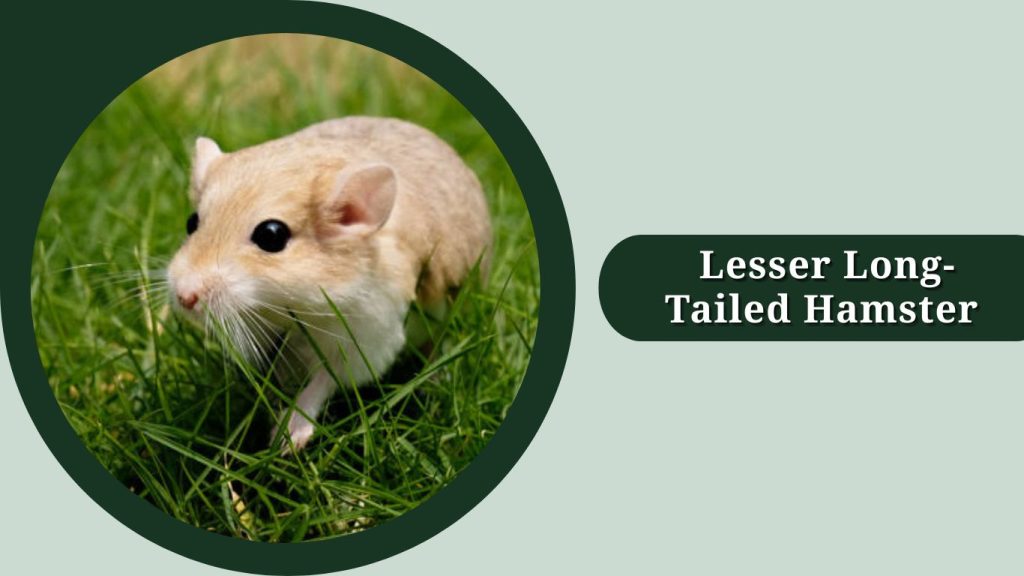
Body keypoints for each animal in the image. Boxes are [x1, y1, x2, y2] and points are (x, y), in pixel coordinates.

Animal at [166, 117, 492, 451]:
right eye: (191, 222)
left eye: (271, 235)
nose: (185, 297)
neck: (290, 308)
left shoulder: (365, 339)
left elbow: (324, 381)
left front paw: (287, 441)